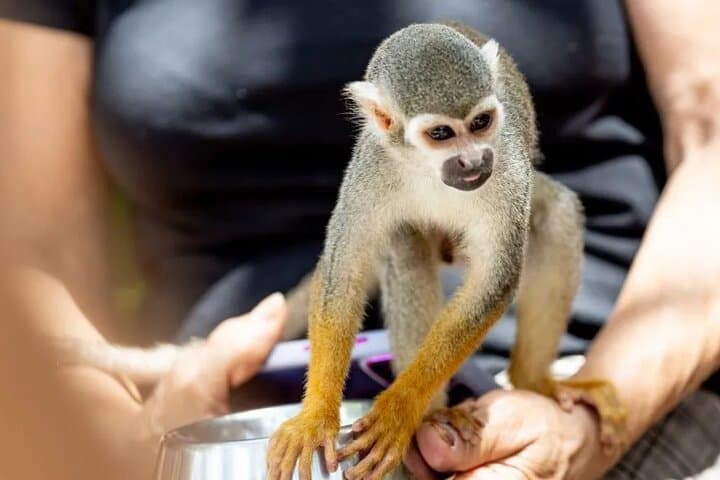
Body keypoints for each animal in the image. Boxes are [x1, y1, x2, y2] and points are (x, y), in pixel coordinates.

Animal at [265, 22, 627, 480]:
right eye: (441, 134)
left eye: (481, 122)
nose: (472, 161)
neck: (429, 170)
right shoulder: (373, 167)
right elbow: (341, 272)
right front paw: (316, 417)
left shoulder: (508, 168)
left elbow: (494, 282)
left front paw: (400, 409)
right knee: (406, 249)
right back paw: (434, 414)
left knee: (556, 214)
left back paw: (530, 382)